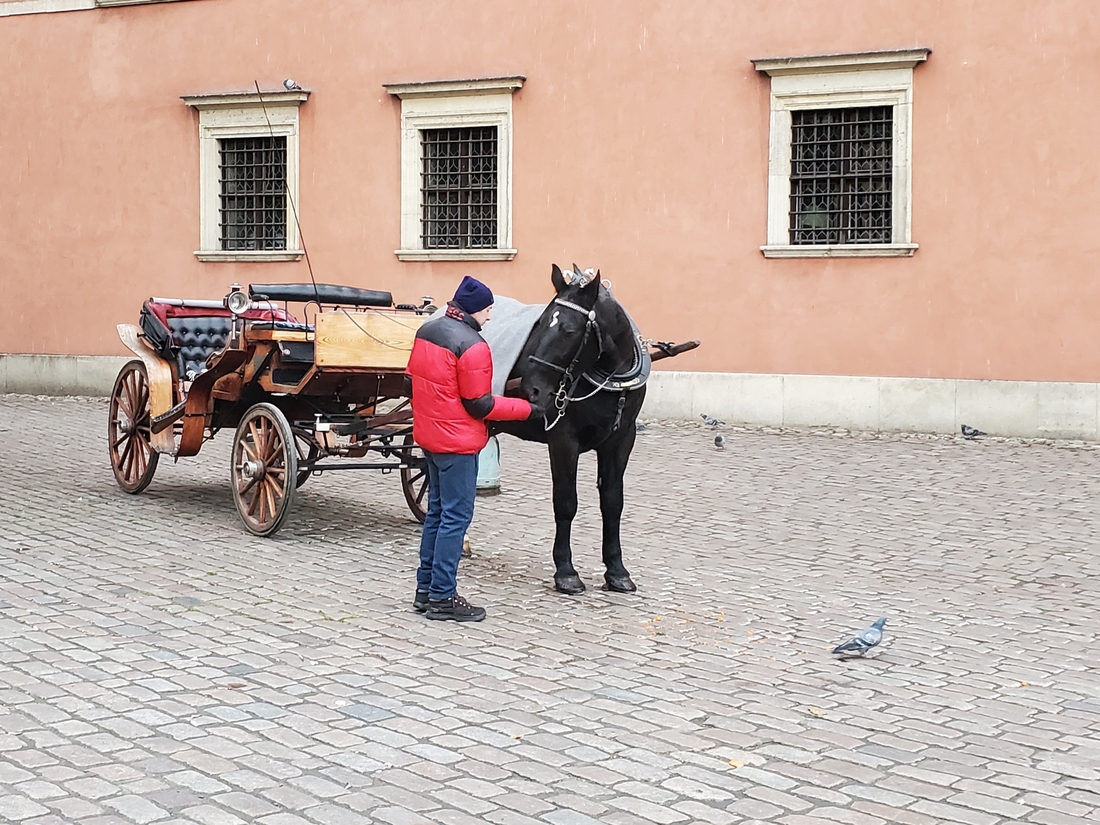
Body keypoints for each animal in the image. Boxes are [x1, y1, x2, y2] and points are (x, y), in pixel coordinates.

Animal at [495, 265, 646, 594]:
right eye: (541, 323)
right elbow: (566, 501)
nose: (531, 390)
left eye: (569, 331)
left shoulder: (621, 439)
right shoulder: (563, 440)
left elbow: (613, 501)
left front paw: (616, 570)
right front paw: (565, 570)